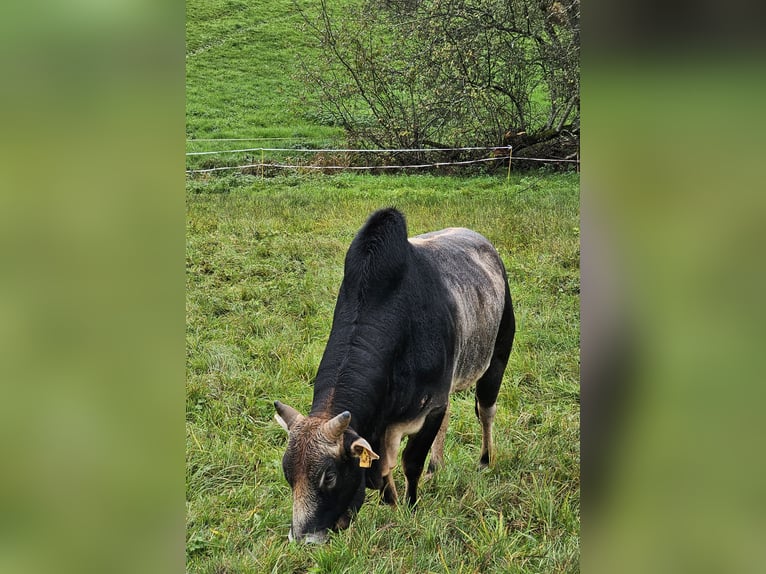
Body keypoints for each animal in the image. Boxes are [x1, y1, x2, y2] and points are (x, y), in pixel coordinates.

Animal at [274, 208, 516, 544]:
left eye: (329, 476)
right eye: (288, 475)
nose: (303, 539)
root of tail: (485, 245)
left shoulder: (431, 407)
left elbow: (410, 462)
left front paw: (411, 506)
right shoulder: (388, 427)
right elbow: (386, 467)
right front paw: (390, 500)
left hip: (497, 358)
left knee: (486, 412)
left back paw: (484, 460)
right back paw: (436, 468)